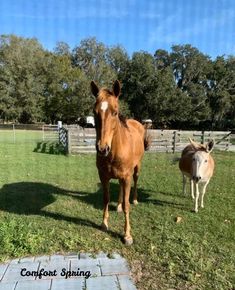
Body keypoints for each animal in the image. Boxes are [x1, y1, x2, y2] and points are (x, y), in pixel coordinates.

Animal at [91, 79, 150, 245]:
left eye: (115, 112)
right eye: (94, 112)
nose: (102, 148)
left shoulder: (127, 177)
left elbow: (127, 205)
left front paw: (127, 235)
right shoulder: (103, 176)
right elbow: (106, 199)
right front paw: (104, 223)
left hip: (136, 169)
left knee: (135, 181)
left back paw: (135, 199)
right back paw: (117, 205)